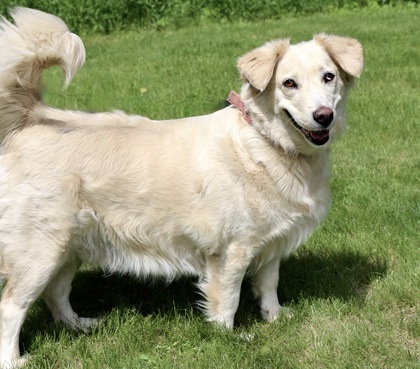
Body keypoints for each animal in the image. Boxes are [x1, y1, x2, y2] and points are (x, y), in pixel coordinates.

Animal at [0, 7, 360, 366]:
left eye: (329, 77)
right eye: (289, 83)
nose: (323, 116)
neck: (264, 143)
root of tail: (33, 118)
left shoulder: (271, 238)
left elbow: (270, 283)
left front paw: (274, 316)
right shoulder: (231, 250)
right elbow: (228, 300)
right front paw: (227, 339)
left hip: (69, 245)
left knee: (56, 292)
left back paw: (77, 325)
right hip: (40, 248)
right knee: (11, 307)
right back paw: (13, 359)